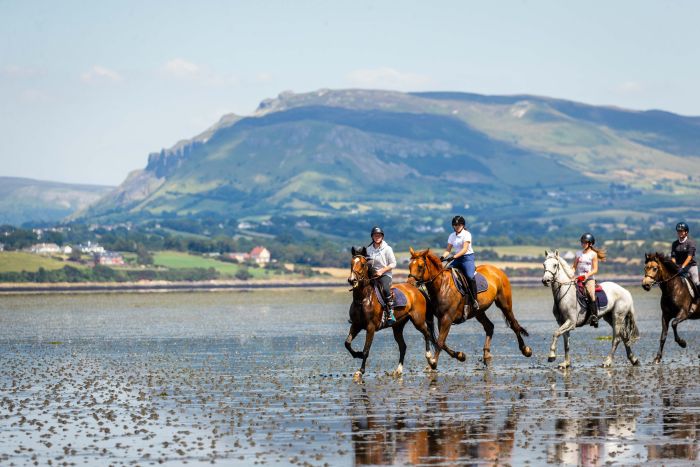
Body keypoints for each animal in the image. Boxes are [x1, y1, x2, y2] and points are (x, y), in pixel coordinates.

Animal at [344, 247, 438, 378]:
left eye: (362, 264)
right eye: (351, 263)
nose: (352, 280)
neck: (363, 299)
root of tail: (416, 289)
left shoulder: (370, 327)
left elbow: (366, 350)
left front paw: (360, 371)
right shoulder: (356, 325)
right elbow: (347, 343)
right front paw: (357, 354)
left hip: (417, 320)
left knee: (427, 333)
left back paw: (430, 359)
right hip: (398, 326)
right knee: (403, 346)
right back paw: (398, 370)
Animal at [404, 247, 532, 372]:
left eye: (420, 266)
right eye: (409, 266)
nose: (410, 284)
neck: (441, 286)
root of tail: (496, 270)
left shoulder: (447, 318)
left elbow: (440, 341)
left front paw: (433, 363)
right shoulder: (441, 318)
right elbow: (440, 341)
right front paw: (460, 356)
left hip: (504, 304)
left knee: (514, 324)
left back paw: (526, 350)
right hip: (478, 312)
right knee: (489, 327)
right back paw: (486, 356)